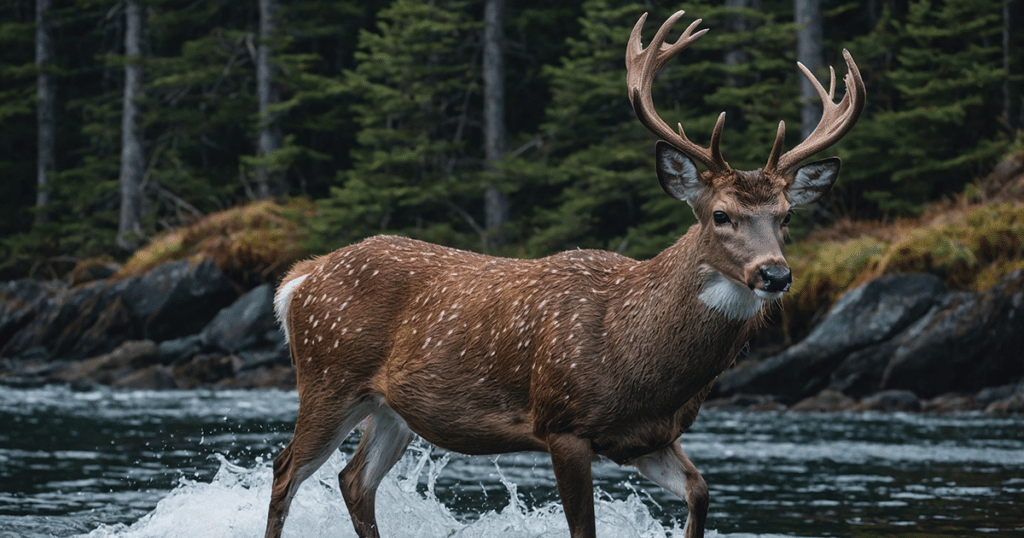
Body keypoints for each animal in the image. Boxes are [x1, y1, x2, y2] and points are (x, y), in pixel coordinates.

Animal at [264, 9, 864, 536]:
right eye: (721, 215)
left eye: (786, 217)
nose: (775, 275)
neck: (637, 356)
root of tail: (300, 278)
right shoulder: (563, 422)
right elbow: (583, 528)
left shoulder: (648, 437)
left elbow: (700, 492)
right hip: (328, 375)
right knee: (286, 469)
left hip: (390, 407)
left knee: (353, 480)